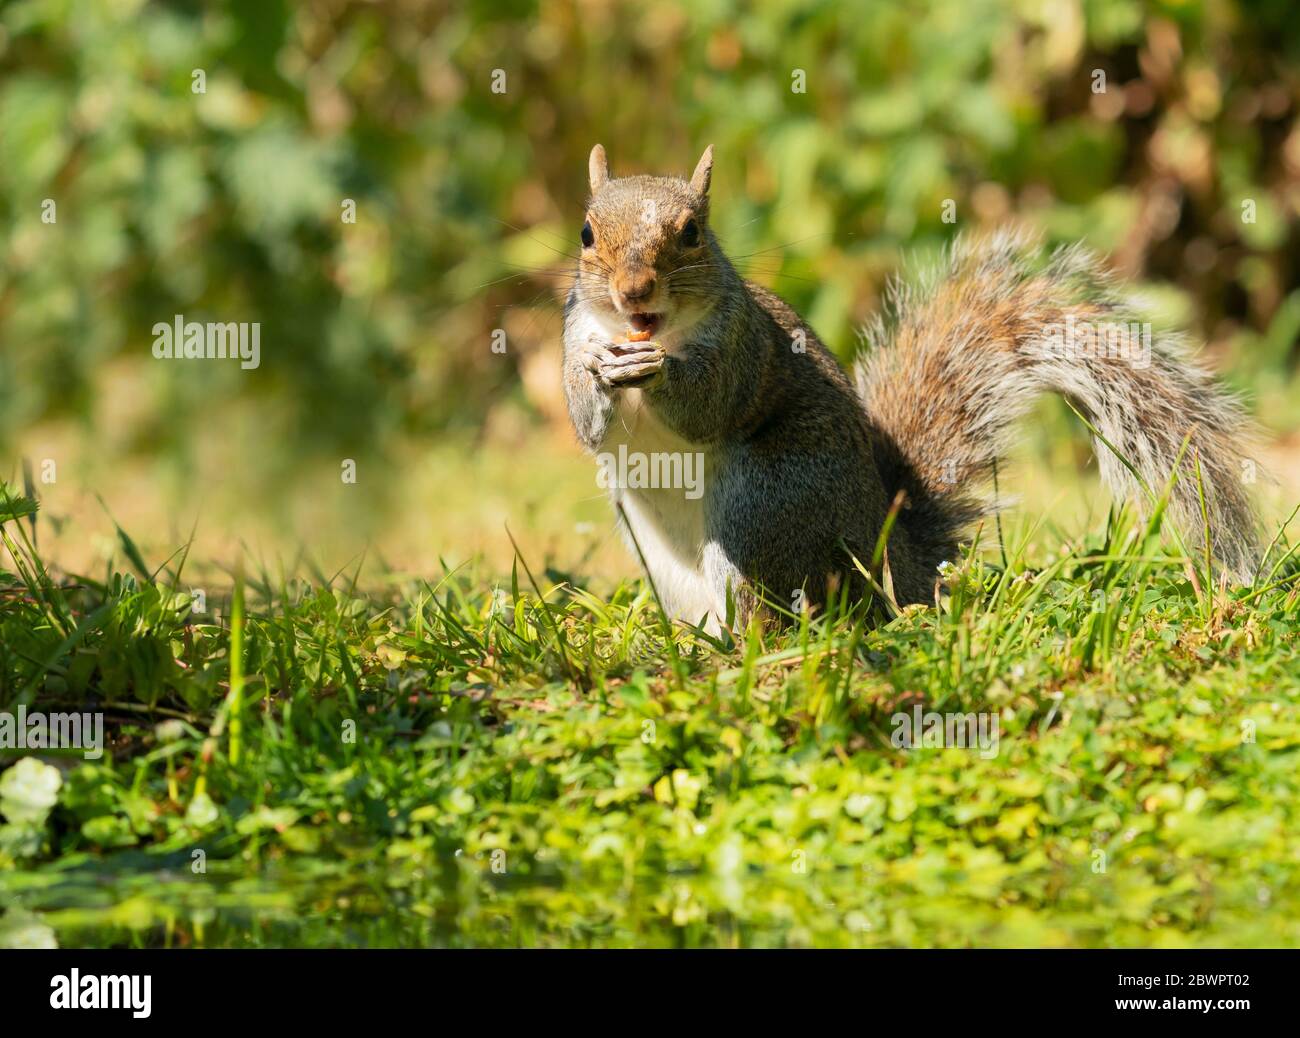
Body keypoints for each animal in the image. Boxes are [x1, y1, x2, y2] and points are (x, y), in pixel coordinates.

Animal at [562, 144, 1260, 632]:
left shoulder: (744, 350)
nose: (633, 292)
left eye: (692, 234)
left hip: (761, 511)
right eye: (587, 234)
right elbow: (585, 421)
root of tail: (891, 551)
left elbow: (708, 405)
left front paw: (664, 372)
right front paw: (596, 370)